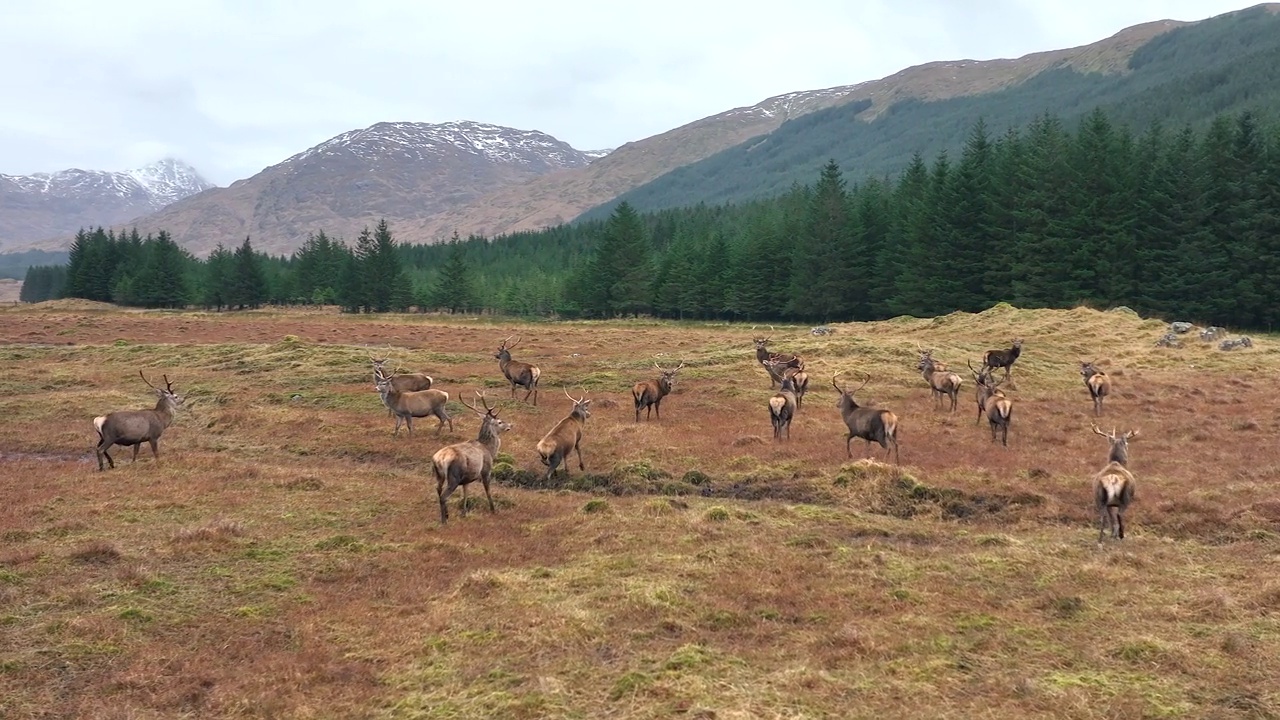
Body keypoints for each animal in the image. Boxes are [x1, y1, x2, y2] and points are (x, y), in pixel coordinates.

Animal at [430, 392, 509, 520]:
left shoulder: (466, 479)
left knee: (438, 490)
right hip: (454, 476)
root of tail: (439, 459)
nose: (510, 425)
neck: (489, 449)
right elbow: (488, 490)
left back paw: (446, 515)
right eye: (499, 422)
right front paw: (493, 510)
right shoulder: (486, 470)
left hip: (439, 475)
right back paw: (444, 519)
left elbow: (465, 493)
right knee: (443, 496)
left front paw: (464, 512)